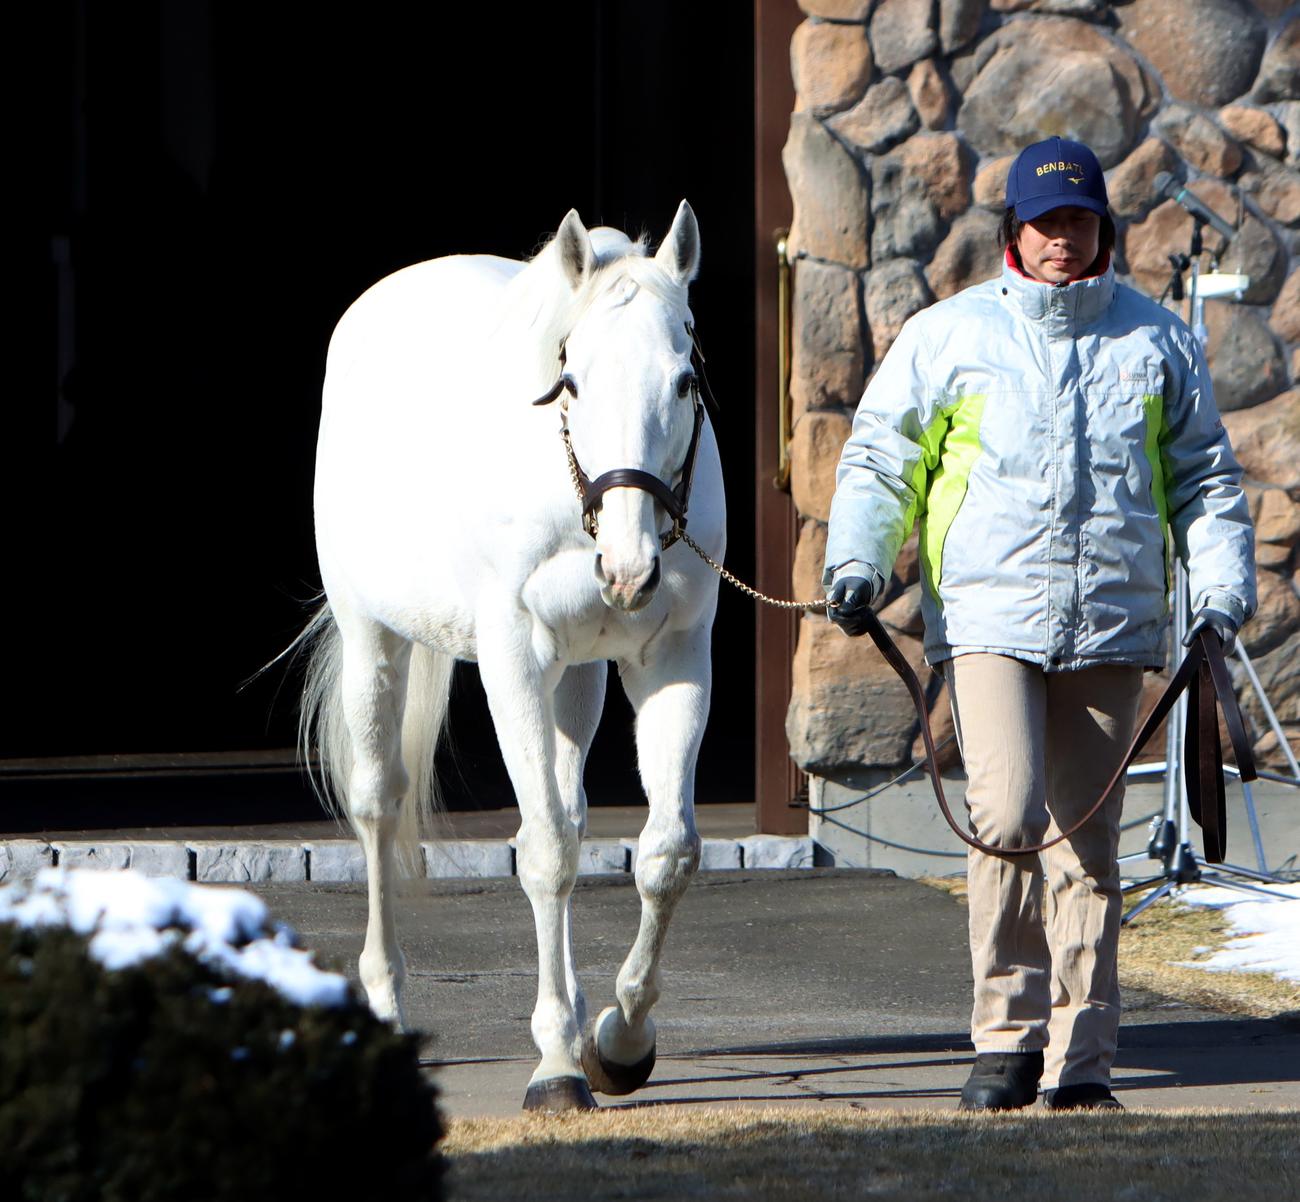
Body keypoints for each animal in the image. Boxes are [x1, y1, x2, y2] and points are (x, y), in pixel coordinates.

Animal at [296, 201, 724, 1112]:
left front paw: (620, 1041)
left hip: (580, 676)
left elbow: (664, 853)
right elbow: (547, 854)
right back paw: (385, 1002)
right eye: (573, 382)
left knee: (567, 807)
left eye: (684, 382)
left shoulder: (671, 656)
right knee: (379, 806)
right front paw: (558, 1063)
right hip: (372, 639)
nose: (629, 568)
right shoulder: (513, 661)